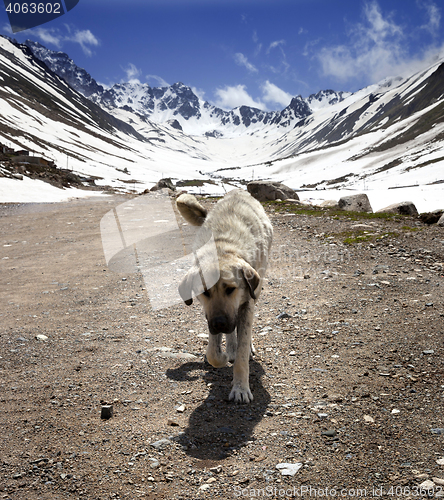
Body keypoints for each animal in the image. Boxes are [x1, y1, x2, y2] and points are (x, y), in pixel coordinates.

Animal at [175, 189, 272, 404]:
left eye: (231, 289)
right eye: (205, 292)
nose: (220, 323)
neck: (222, 248)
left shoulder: (245, 304)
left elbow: (242, 353)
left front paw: (240, 388)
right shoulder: (210, 314)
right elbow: (213, 350)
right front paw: (221, 356)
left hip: (256, 290)